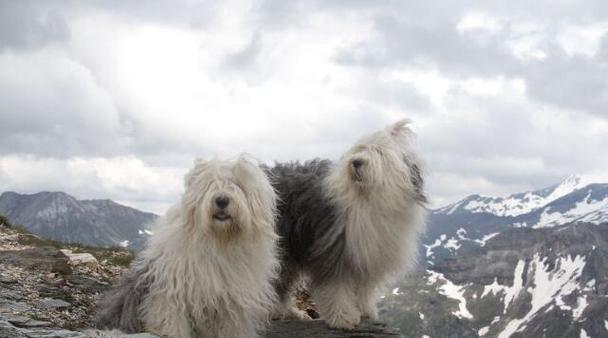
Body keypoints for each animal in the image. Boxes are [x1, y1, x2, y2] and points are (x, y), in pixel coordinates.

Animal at [96, 157, 280, 338]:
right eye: (210, 184)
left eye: (238, 185)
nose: (221, 200)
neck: (220, 241)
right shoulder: (174, 288)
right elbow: (172, 316)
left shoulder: (234, 299)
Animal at [270, 120, 428, 328]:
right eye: (360, 149)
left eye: (379, 152)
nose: (356, 162)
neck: (366, 199)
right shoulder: (335, 249)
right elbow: (337, 287)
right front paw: (343, 317)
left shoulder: (368, 255)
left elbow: (364, 289)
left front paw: (365, 311)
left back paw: (289, 312)